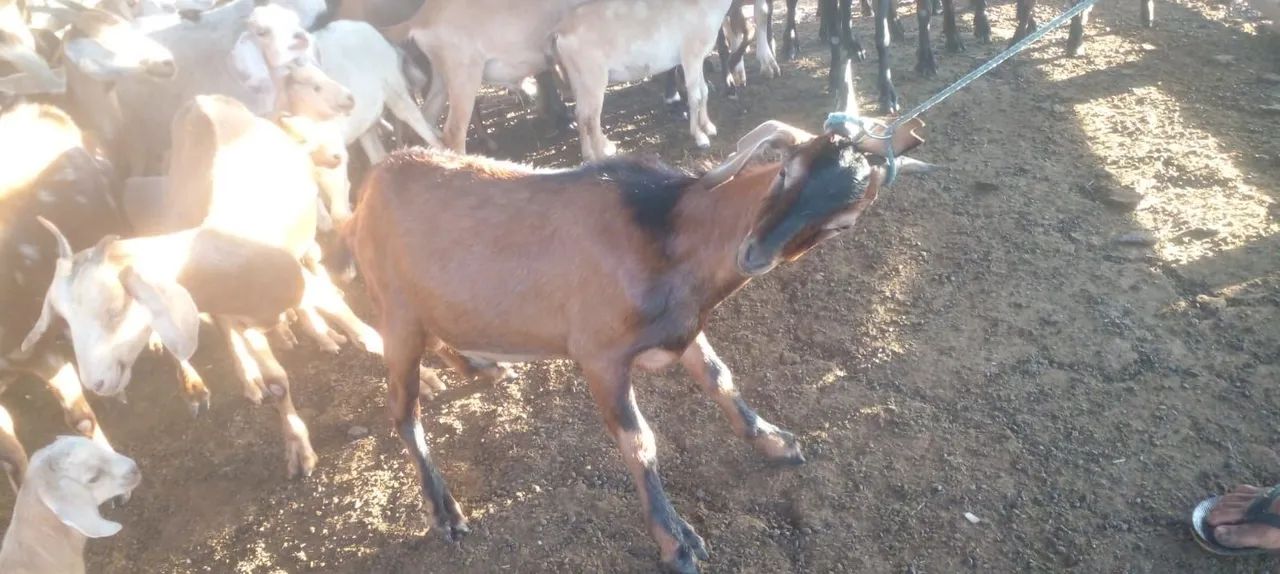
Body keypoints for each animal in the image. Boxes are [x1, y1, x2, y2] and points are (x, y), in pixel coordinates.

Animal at [343, 116, 934, 572]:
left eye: (843, 223)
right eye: (786, 170)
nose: (754, 254)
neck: (664, 229)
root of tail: (371, 185)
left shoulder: (684, 329)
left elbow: (720, 379)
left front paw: (774, 442)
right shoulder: (599, 353)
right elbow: (640, 441)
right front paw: (676, 540)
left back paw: (480, 367)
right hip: (395, 309)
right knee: (402, 408)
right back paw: (443, 510)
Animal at [553, 0, 735, 161]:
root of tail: (561, 32)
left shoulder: (699, 59)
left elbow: (704, 91)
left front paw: (709, 127)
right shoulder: (690, 56)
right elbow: (695, 97)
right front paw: (700, 137)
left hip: (579, 78)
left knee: (580, 113)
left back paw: (589, 155)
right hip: (594, 77)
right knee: (592, 116)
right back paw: (603, 154)